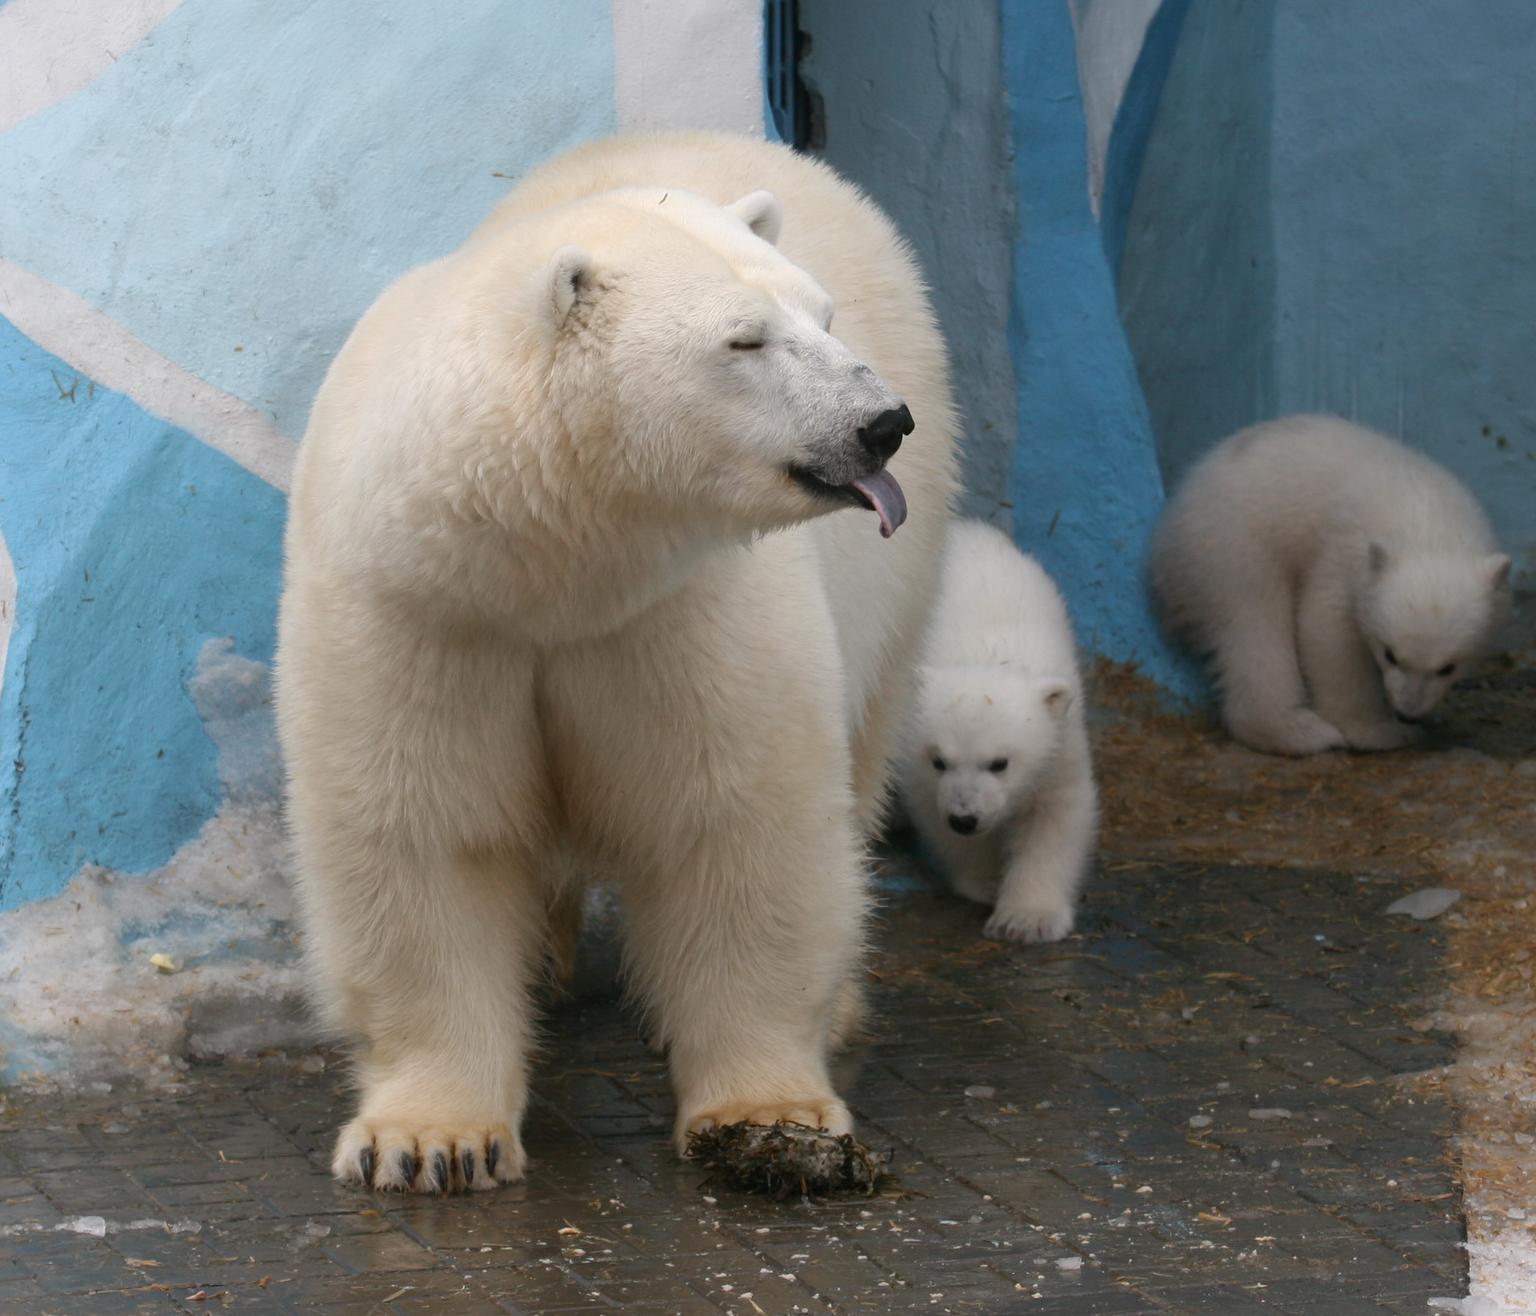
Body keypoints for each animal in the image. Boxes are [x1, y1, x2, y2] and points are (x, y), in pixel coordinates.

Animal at [271, 133, 952, 1191]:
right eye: (744, 341)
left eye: (822, 315)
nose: (882, 423)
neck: (545, 562)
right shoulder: (419, 613)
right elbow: (424, 831)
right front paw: (431, 1141)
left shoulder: (675, 608)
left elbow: (737, 824)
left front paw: (769, 1118)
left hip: (900, 580)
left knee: (866, 734)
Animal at [897, 522, 1099, 945]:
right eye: (939, 761)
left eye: (1000, 763)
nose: (964, 818)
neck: (987, 656)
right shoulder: (912, 756)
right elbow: (931, 810)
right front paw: (986, 882)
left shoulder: (1060, 740)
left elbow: (1056, 816)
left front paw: (1027, 919)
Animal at [1155, 414, 1511, 755]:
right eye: (1390, 654)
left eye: (1449, 667)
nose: (1408, 711)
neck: (1427, 523)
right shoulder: (1345, 548)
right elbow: (1330, 632)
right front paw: (1384, 733)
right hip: (1231, 548)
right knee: (1254, 627)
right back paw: (1300, 732)